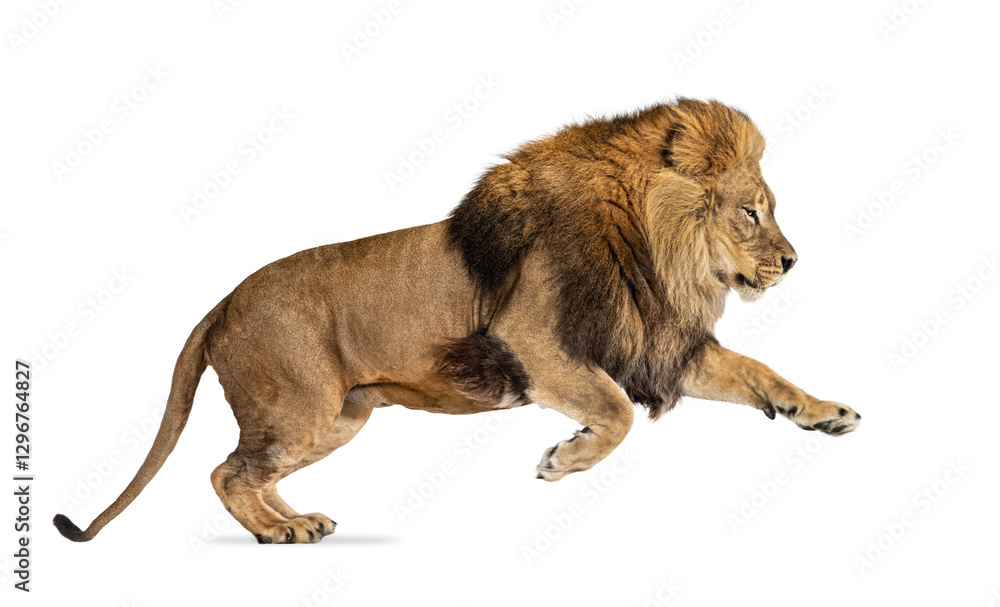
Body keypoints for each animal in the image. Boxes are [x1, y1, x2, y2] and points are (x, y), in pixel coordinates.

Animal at [54, 98, 860, 544]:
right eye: (750, 212)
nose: (792, 261)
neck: (659, 254)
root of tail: (221, 300)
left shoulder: (659, 344)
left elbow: (760, 372)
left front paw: (825, 413)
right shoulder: (534, 340)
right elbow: (615, 412)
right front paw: (562, 458)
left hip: (338, 418)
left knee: (251, 470)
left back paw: (298, 518)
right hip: (301, 408)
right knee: (225, 471)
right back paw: (278, 531)